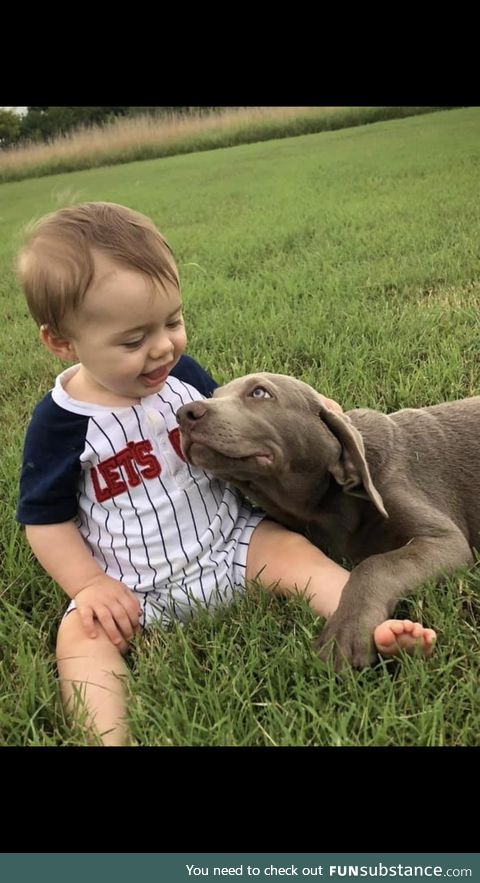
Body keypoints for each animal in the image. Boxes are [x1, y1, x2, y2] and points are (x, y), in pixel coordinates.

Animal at [177, 372, 476, 668]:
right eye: (214, 395)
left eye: (259, 392)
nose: (185, 414)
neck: (328, 505)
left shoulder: (444, 539)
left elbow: (375, 565)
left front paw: (347, 632)